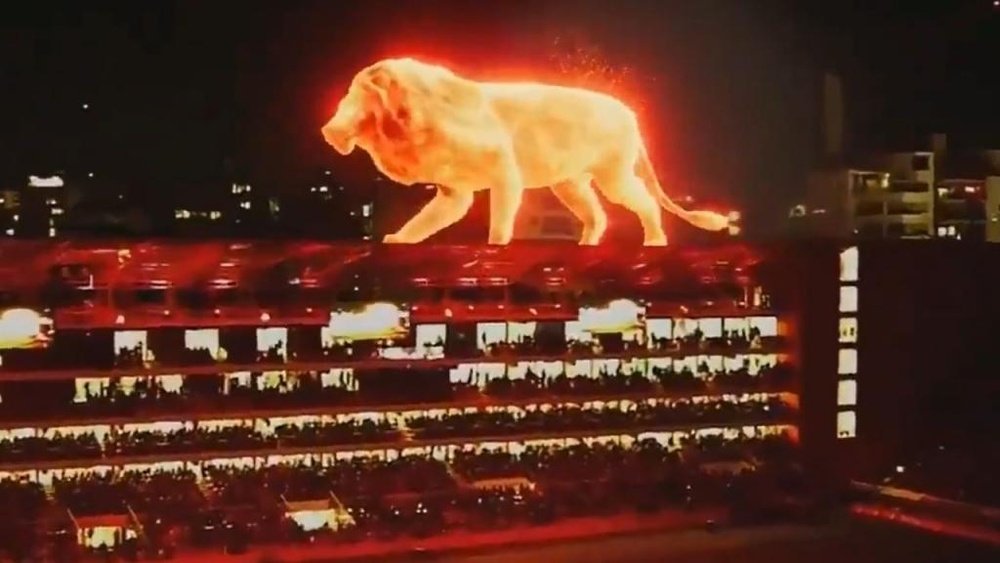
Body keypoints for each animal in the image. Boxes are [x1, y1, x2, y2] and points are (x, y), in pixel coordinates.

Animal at [324, 56, 732, 247]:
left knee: (644, 202)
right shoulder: (455, 191)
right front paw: (398, 240)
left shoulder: (504, 170)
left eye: (357, 96)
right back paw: (586, 245)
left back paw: (655, 241)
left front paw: (497, 245)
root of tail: (630, 113)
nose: (329, 130)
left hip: (613, 174)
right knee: (597, 216)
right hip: (570, 183)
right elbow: (425, 220)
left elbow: (501, 219)